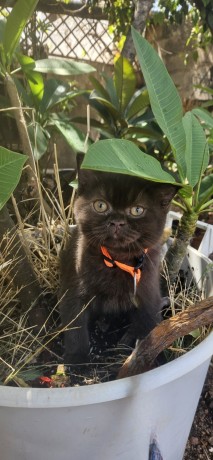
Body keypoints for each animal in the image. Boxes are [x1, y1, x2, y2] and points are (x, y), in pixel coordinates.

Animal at [59, 160, 177, 364]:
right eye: (100, 205)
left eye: (137, 210)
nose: (116, 222)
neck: (116, 260)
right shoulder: (74, 288)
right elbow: (75, 326)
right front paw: (76, 361)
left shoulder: (148, 292)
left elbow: (148, 327)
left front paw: (147, 359)